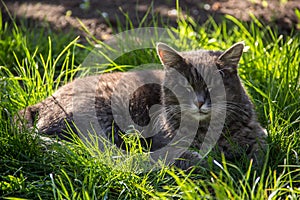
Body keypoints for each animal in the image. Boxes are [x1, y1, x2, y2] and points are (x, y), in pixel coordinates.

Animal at [18, 41, 268, 169]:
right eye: (184, 85)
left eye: (214, 85)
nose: (199, 102)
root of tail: (39, 103)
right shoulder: (167, 144)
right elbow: (199, 159)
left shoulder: (258, 133)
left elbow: (261, 151)